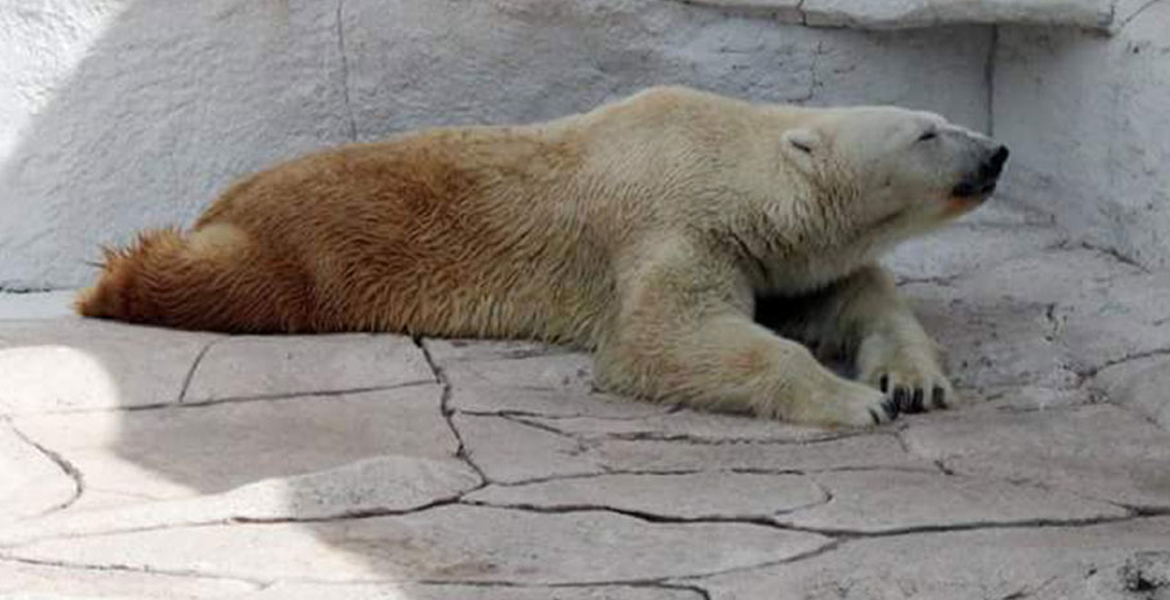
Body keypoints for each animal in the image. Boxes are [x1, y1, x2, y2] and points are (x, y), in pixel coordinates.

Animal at [77, 86, 1006, 428]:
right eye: (928, 132)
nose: (996, 151)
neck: (735, 156)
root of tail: (228, 197)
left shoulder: (776, 254)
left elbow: (857, 297)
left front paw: (911, 381)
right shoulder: (674, 223)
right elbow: (660, 338)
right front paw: (855, 402)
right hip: (308, 243)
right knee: (228, 279)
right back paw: (117, 274)